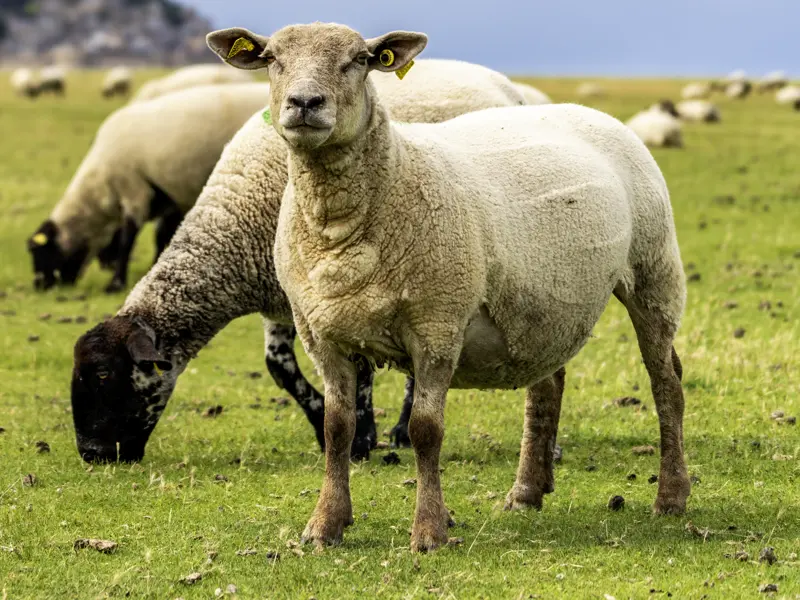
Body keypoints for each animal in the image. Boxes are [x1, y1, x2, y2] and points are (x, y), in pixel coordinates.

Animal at [27, 81, 272, 292]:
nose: (39, 286)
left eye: (40, 252)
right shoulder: (169, 198)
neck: (100, 187)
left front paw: (116, 283)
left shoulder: (134, 190)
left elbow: (127, 239)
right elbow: (161, 235)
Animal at [202, 23, 692, 552]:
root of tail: (587, 111)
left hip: (653, 269)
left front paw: (429, 530)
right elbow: (337, 430)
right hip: (542, 298)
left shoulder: (436, 326)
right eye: (272, 58)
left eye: (360, 60)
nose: (305, 103)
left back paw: (671, 496)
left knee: (667, 381)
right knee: (547, 384)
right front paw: (325, 525)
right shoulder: (322, 336)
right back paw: (527, 491)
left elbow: (425, 430)